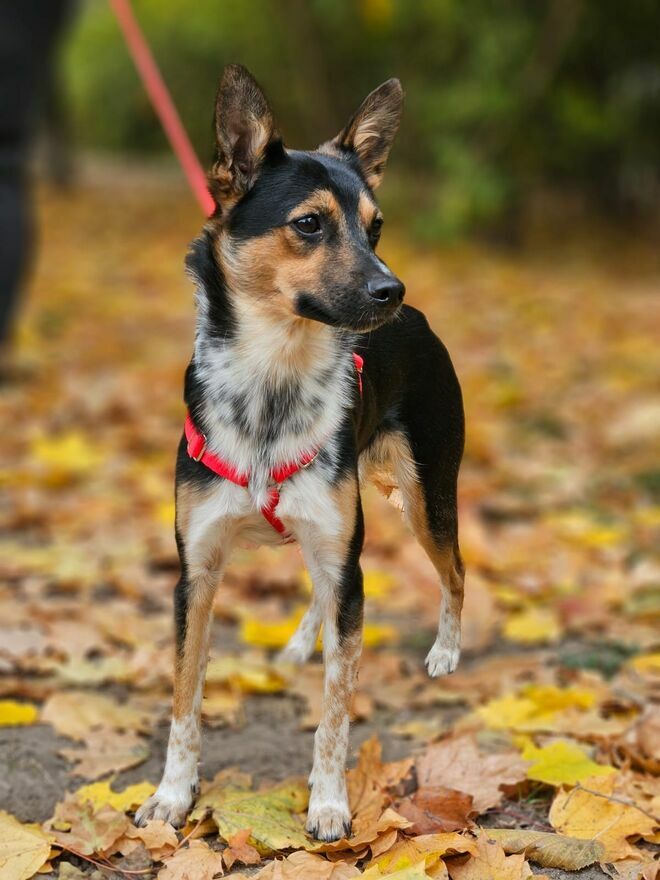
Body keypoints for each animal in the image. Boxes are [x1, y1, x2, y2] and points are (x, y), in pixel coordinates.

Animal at [136, 64, 465, 842]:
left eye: (377, 226)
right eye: (309, 224)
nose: (390, 287)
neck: (274, 384)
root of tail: (420, 320)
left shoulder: (346, 562)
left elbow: (335, 714)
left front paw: (329, 803)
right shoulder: (196, 572)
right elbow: (184, 699)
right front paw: (173, 794)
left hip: (426, 501)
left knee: (455, 573)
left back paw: (445, 652)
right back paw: (298, 643)